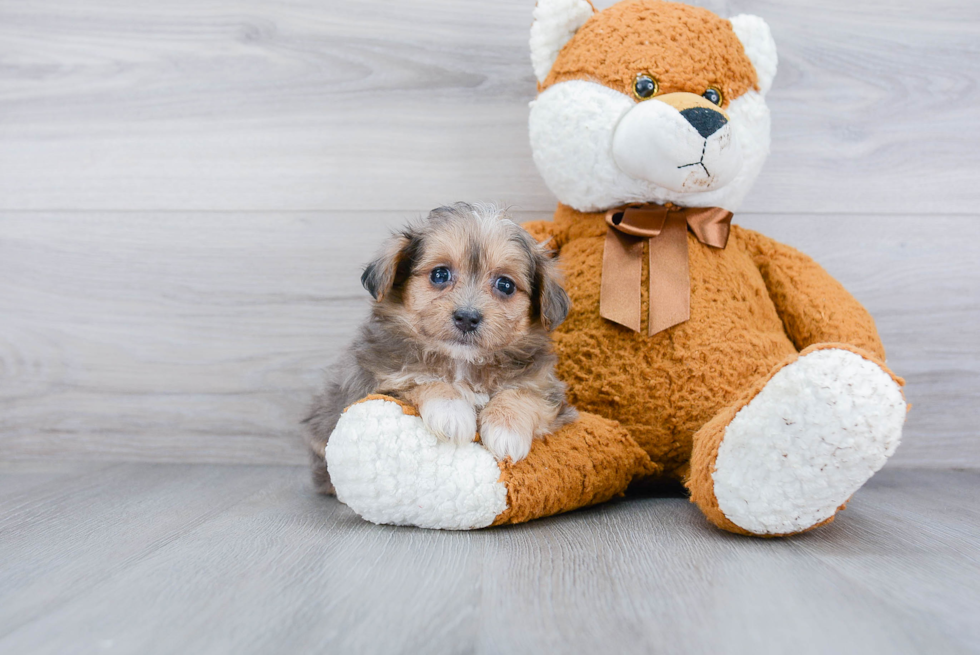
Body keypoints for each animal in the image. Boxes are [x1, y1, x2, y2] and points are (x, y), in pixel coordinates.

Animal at [304, 202, 576, 494]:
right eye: (440, 274)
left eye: (505, 285)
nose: (467, 317)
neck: (462, 364)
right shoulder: (378, 382)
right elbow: (421, 380)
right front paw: (452, 412)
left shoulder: (545, 387)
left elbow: (522, 394)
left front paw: (507, 429)